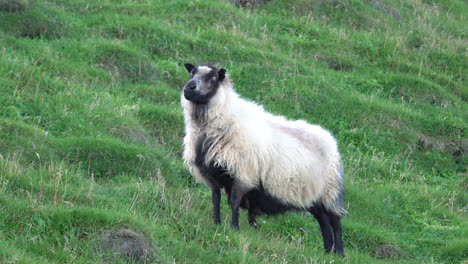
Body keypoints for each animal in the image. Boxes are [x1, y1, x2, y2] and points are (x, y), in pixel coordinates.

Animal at [181, 63, 346, 255]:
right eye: (192, 73)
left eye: (213, 78)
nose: (189, 88)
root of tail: (332, 141)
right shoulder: (211, 174)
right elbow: (216, 199)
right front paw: (217, 223)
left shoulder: (243, 174)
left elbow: (234, 202)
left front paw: (234, 227)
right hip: (315, 195)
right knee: (324, 221)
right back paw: (327, 252)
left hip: (329, 191)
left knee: (335, 222)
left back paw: (339, 253)